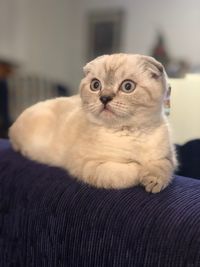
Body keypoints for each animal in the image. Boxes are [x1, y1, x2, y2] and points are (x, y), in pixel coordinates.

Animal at [8, 54, 177, 193]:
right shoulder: (89, 165)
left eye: (128, 86)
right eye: (95, 85)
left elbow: (163, 166)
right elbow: (129, 171)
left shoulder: (168, 157)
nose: (104, 98)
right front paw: (140, 169)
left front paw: (153, 181)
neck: (132, 133)